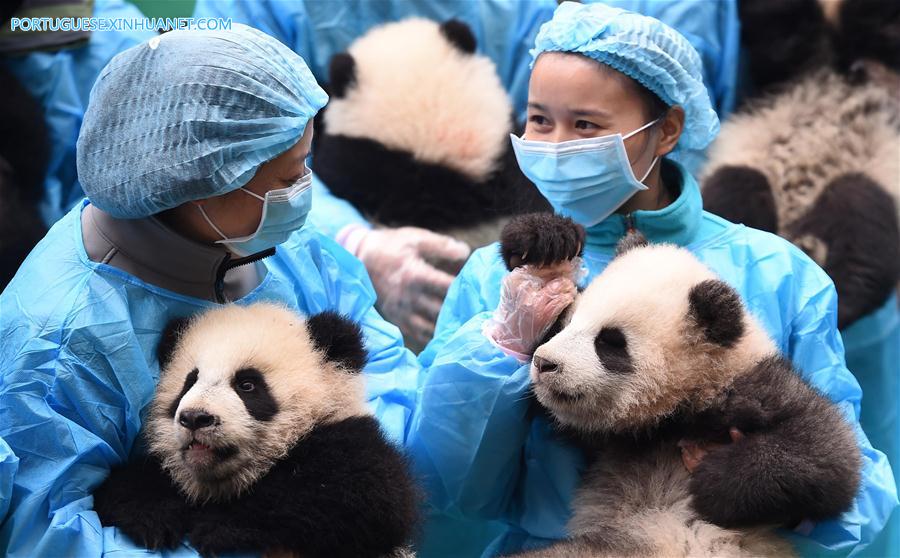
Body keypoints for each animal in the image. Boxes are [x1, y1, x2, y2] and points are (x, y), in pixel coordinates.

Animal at [92, 303, 419, 558]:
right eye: (190, 381)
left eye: (247, 384)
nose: (196, 418)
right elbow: (123, 488)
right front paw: (154, 518)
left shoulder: (350, 440)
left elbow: (361, 495)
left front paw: (218, 526)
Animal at [499, 214, 862, 558]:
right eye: (569, 322)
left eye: (610, 342)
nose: (544, 363)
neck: (669, 415)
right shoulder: (608, 437)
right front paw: (542, 241)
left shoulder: (750, 386)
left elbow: (828, 454)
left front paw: (713, 480)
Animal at [701, 0, 900, 330]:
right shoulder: (787, 69)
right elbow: (781, 42)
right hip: (749, 165)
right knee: (736, 189)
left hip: (878, 173)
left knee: (861, 211)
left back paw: (837, 297)